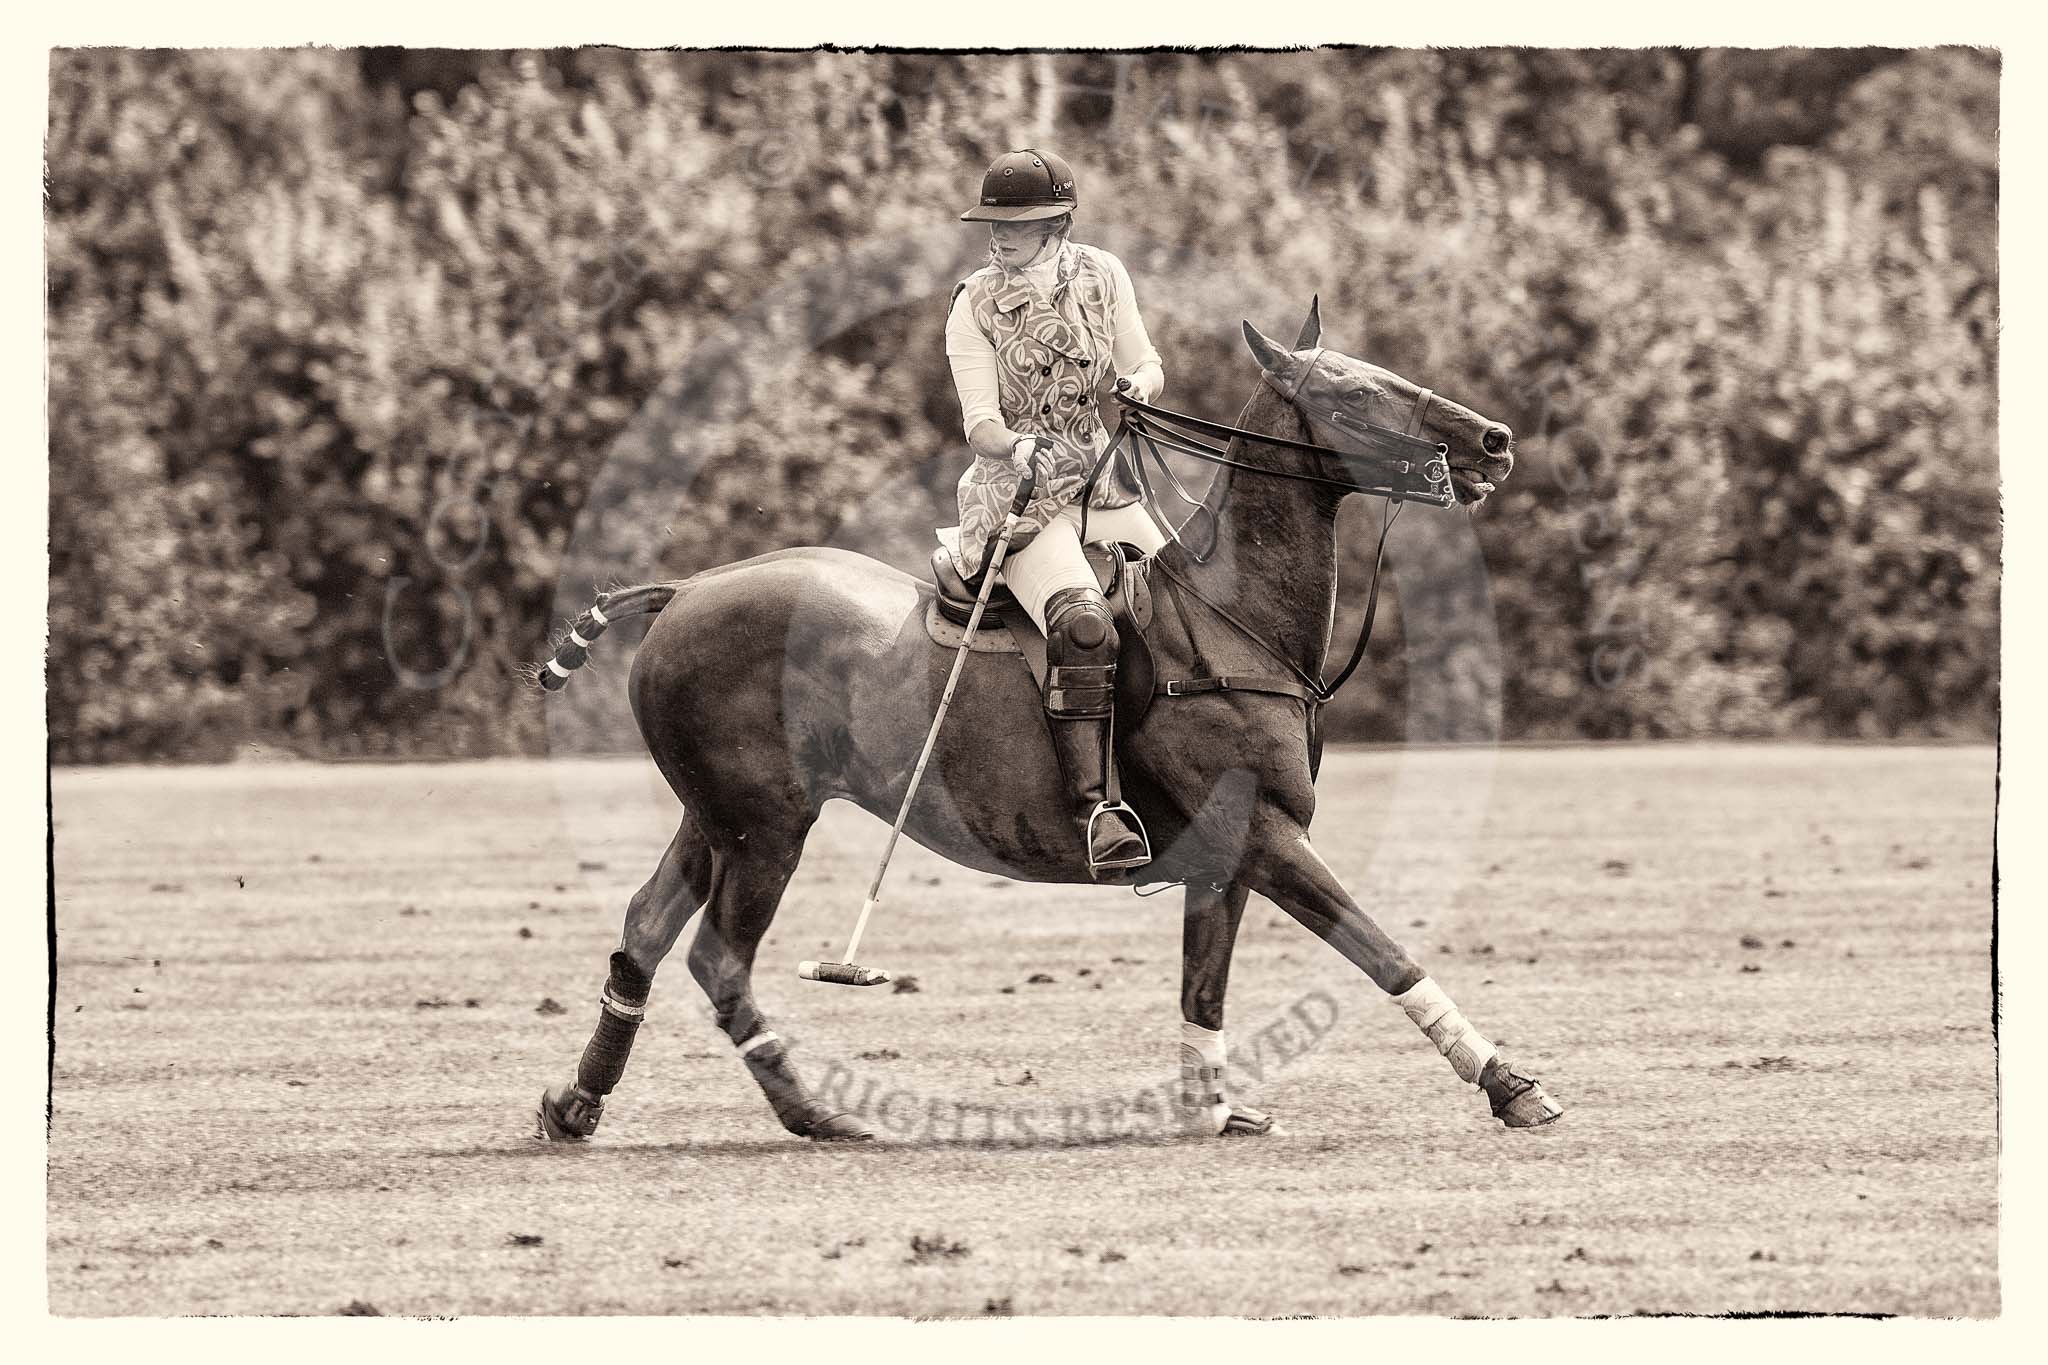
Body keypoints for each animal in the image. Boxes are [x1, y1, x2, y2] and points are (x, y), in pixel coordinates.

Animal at [532, 298, 1560, 1143]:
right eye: (1350, 391)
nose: (1494, 442)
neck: (1237, 620)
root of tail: (683, 589)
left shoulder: (1222, 857)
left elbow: (1204, 988)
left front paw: (1213, 1107)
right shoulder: (1266, 833)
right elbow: (1385, 952)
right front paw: (1510, 1084)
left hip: (713, 816)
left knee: (645, 924)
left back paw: (577, 1101)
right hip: (766, 825)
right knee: (718, 959)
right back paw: (816, 1113)